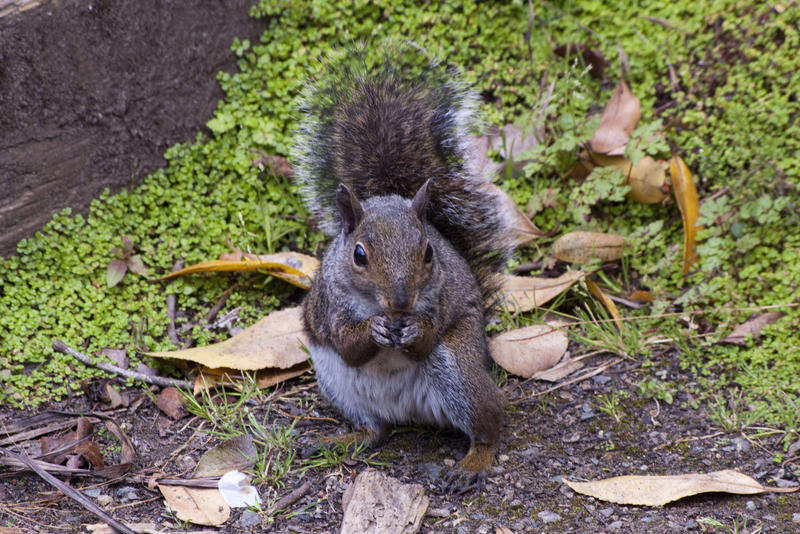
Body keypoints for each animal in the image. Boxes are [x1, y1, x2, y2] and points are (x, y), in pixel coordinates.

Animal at [294, 50, 512, 494]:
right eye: (359, 254)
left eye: (428, 251)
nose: (399, 302)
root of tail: (410, 413)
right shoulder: (331, 307)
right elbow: (349, 345)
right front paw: (372, 330)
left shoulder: (439, 301)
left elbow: (425, 338)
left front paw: (412, 330)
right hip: (338, 384)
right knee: (376, 431)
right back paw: (340, 440)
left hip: (460, 372)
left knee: (490, 420)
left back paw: (472, 463)